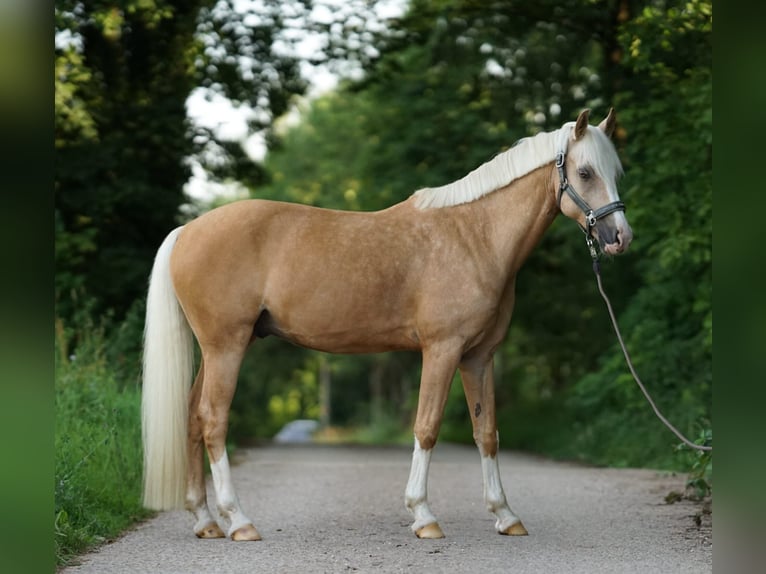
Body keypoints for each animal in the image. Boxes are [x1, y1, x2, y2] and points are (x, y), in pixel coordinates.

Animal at [141, 110, 632, 544]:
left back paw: (206, 521)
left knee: (191, 417)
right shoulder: (442, 349)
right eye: (585, 172)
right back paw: (240, 522)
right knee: (213, 419)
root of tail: (187, 230)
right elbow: (427, 426)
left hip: (212, 352)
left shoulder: (478, 357)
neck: (474, 236)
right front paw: (423, 516)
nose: (619, 238)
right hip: (226, 346)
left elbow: (487, 432)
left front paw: (506, 515)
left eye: (617, 172)